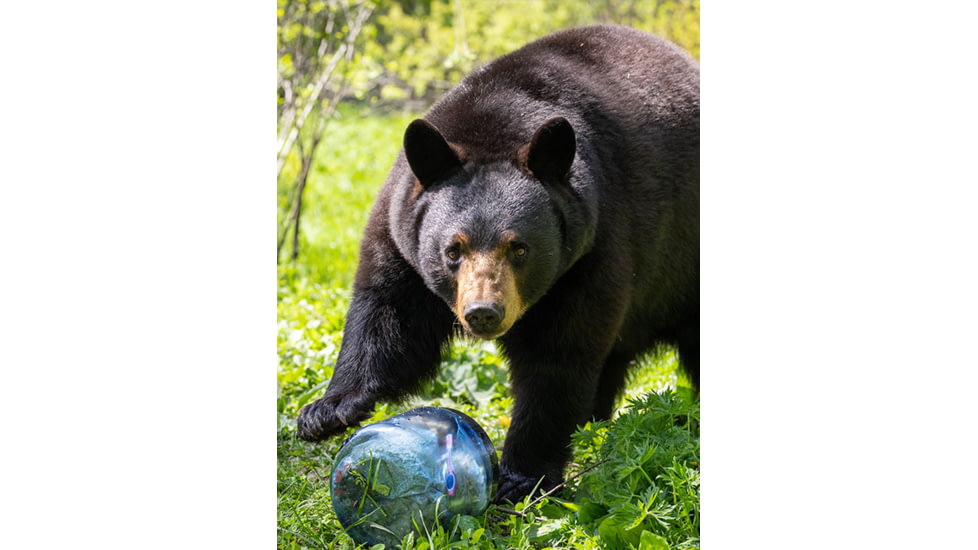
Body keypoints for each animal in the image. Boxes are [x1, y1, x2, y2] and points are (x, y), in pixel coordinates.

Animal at [297, 25, 699, 504]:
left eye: (519, 248)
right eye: (453, 250)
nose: (484, 313)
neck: (498, 119)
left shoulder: (593, 249)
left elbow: (557, 359)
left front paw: (521, 475)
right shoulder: (400, 235)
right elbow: (389, 318)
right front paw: (327, 411)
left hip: (682, 261)